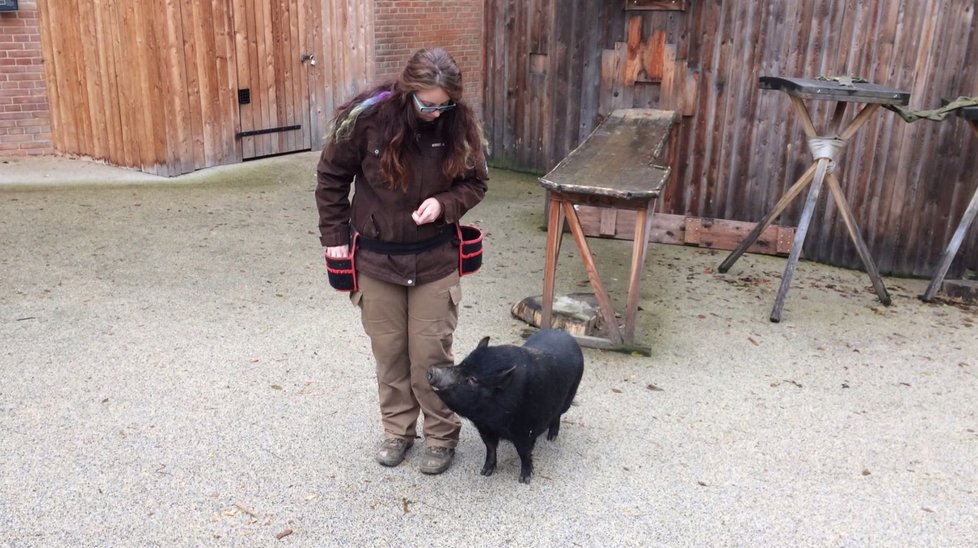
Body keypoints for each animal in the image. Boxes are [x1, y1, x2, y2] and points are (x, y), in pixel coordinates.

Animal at [426, 328, 580, 482]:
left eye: (474, 380)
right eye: (461, 364)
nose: (432, 371)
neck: (494, 420)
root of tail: (563, 333)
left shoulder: (525, 430)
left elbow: (524, 453)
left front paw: (524, 479)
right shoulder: (484, 428)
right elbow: (490, 448)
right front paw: (485, 472)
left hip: (569, 397)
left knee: (558, 414)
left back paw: (551, 438)